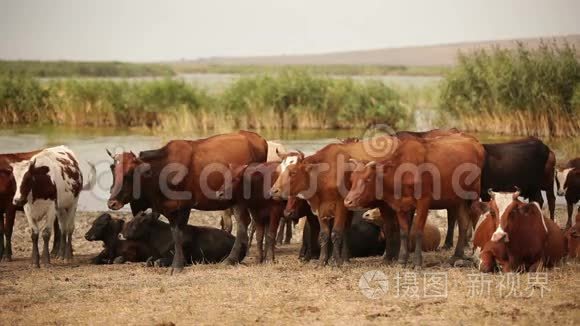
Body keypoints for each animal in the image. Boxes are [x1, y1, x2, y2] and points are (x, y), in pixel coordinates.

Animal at [106, 130, 268, 272]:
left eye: (129, 173)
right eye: (113, 169)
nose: (112, 203)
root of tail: (255, 138)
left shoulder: (184, 206)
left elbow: (179, 235)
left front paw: (178, 265)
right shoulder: (169, 209)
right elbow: (174, 233)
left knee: (243, 224)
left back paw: (231, 259)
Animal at [342, 133, 482, 268]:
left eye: (368, 179)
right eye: (352, 179)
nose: (348, 201)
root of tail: (474, 142)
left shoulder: (423, 202)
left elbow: (419, 231)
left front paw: (417, 262)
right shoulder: (401, 206)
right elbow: (404, 232)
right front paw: (402, 261)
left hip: (473, 196)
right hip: (458, 200)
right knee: (463, 223)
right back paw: (457, 255)